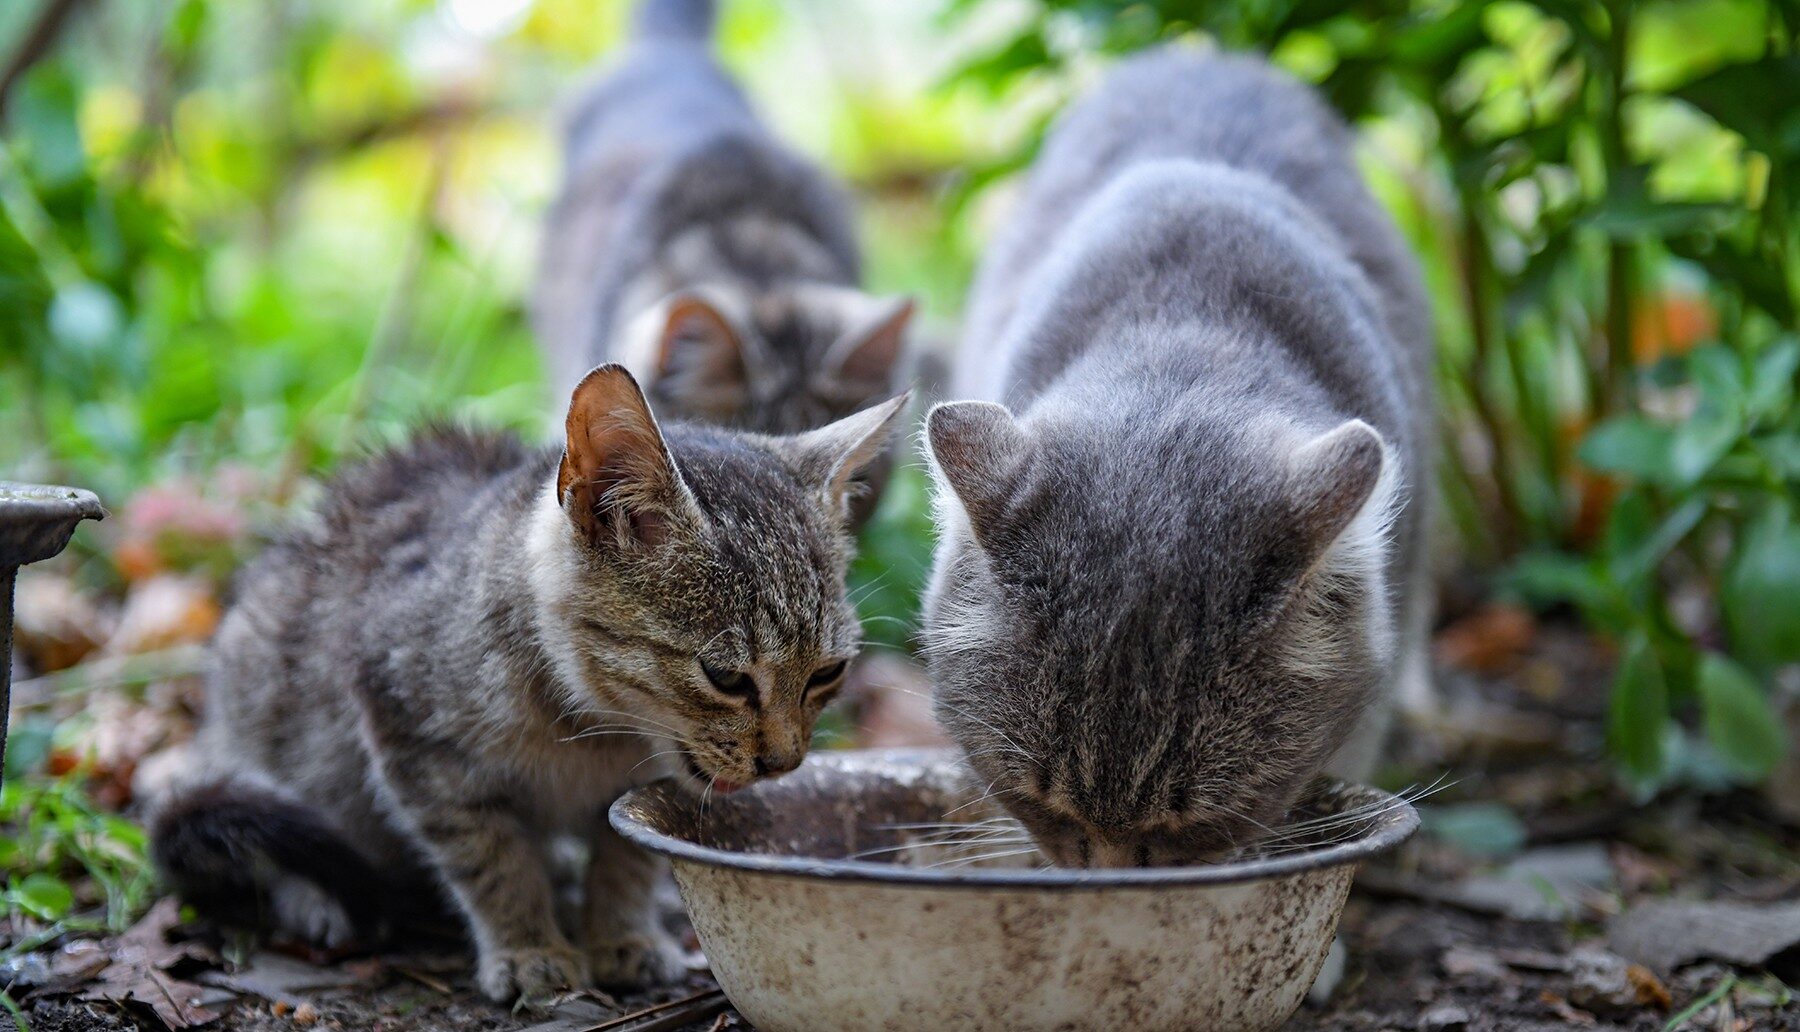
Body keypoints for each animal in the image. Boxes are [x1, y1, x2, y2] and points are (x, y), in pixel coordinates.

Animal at [149, 363, 907, 1001]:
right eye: (724, 676)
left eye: (827, 673)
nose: (785, 762)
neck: (592, 731)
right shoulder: (408, 734)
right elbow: (490, 857)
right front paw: (528, 947)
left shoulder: (641, 785)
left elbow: (624, 856)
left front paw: (619, 933)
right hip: (262, 697)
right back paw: (317, 898)